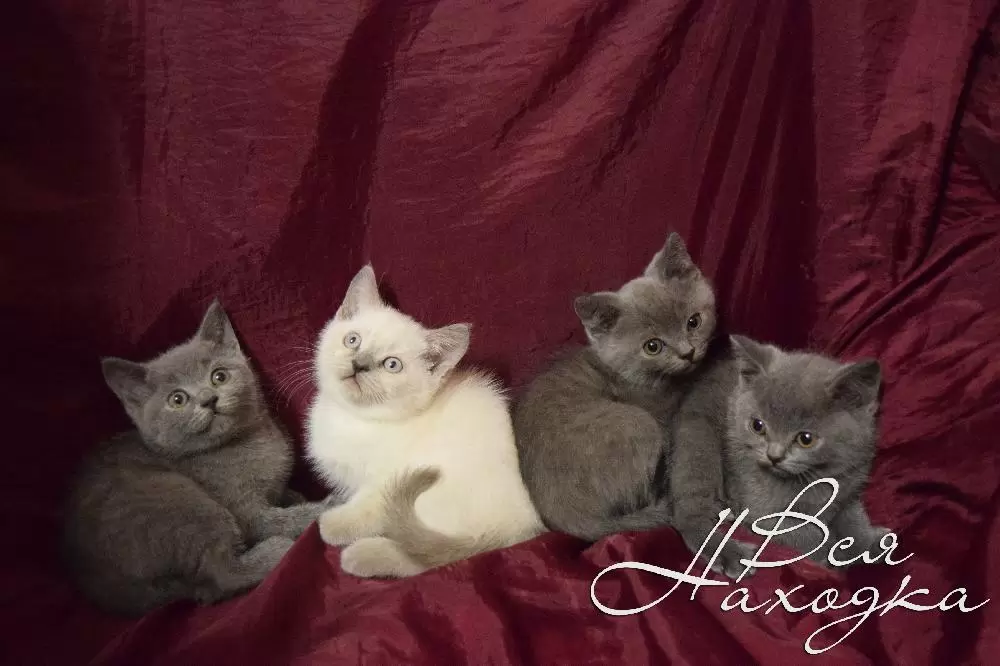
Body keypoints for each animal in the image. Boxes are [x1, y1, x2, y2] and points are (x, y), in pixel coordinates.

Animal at [63, 301, 327, 616]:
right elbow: (278, 521)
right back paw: (275, 551)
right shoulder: (246, 510)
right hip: (182, 501)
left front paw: (295, 496)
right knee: (222, 572)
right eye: (177, 400)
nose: (208, 399)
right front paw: (324, 506)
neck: (245, 440)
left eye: (219, 376)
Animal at [305, 265, 544, 578]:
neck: (354, 418)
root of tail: (521, 525)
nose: (359, 364)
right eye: (352, 340)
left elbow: (367, 509)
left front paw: (333, 525)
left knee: (426, 557)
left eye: (392, 365)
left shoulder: (386, 480)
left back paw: (362, 555)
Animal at [669, 335, 888, 578]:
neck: (813, 476)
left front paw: (870, 544)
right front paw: (834, 553)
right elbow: (806, 532)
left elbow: (854, 518)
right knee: (689, 514)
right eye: (757, 426)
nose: (774, 456)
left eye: (805, 439)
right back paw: (730, 553)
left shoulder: (848, 484)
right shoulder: (760, 508)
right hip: (698, 442)